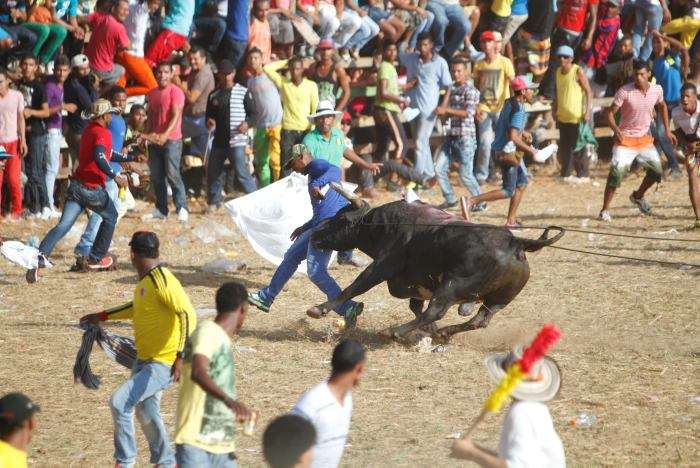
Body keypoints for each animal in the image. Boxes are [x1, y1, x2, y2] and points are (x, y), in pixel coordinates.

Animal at [308, 185, 568, 342]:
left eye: (340, 218)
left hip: (451, 285)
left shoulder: (381, 267)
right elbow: (415, 305)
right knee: (479, 320)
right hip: (498, 300)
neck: (383, 225)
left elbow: (354, 287)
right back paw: (443, 333)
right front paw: (430, 331)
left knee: (435, 311)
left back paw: (393, 331)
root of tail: (515, 242)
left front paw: (319, 309)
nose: (314, 234)